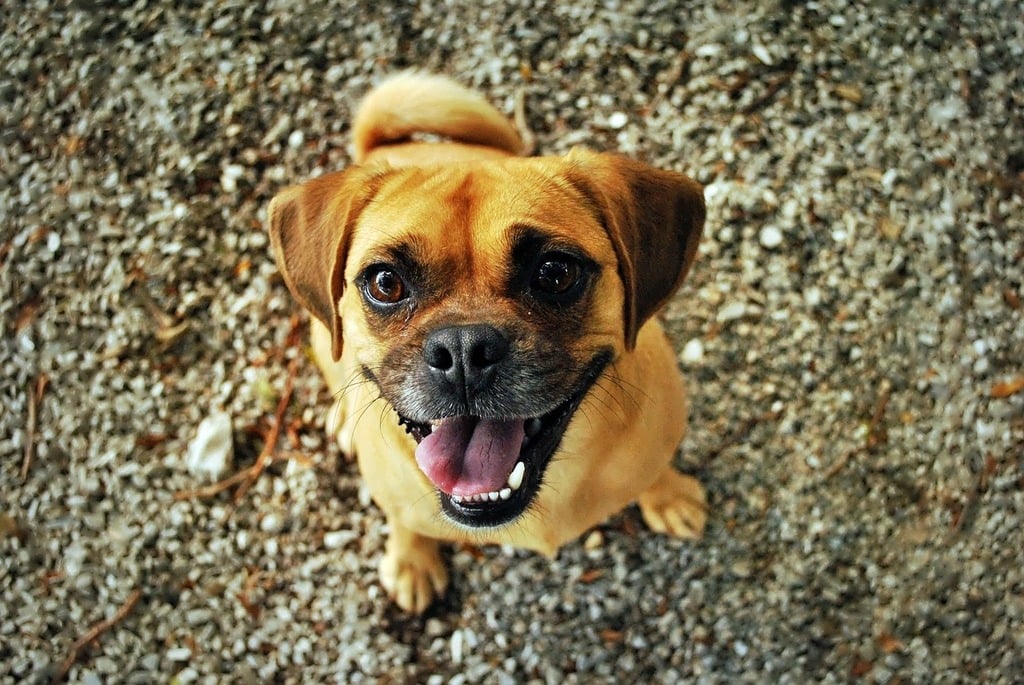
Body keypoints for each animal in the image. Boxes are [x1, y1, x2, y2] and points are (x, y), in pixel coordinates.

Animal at [268, 72, 708, 610]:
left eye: (555, 273)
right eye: (385, 283)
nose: (462, 351)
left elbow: (656, 470)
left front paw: (669, 495)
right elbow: (403, 521)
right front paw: (411, 560)